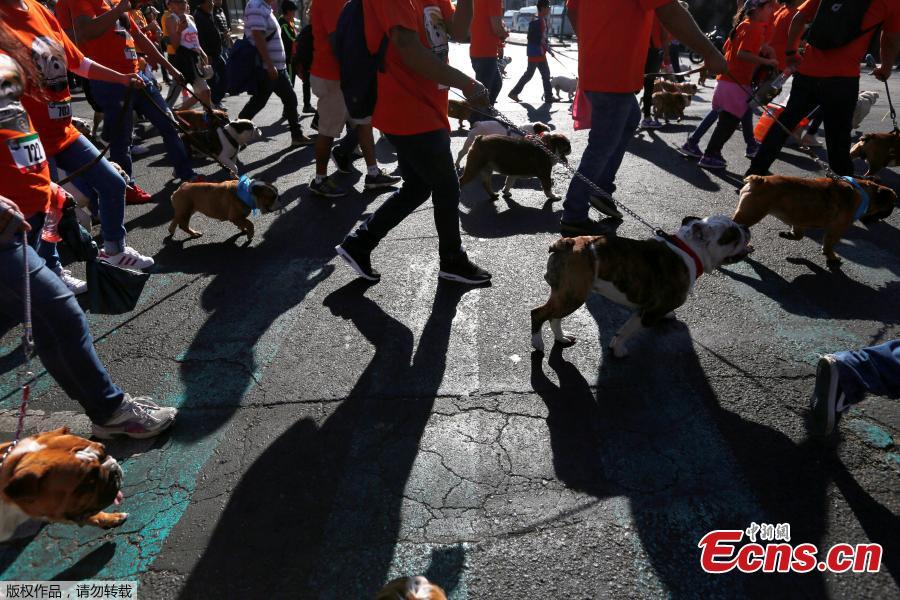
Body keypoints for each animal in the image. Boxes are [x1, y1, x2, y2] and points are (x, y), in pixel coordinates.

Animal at [736, 176, 896, 264]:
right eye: (892, 204)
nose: (890, 213)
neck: (865, 193)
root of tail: (760, 180)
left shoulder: (799, 222)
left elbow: (799, 235)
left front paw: (788, 235)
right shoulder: (836, 230)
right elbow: (829, 245)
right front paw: (832, 257)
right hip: (751, 215)